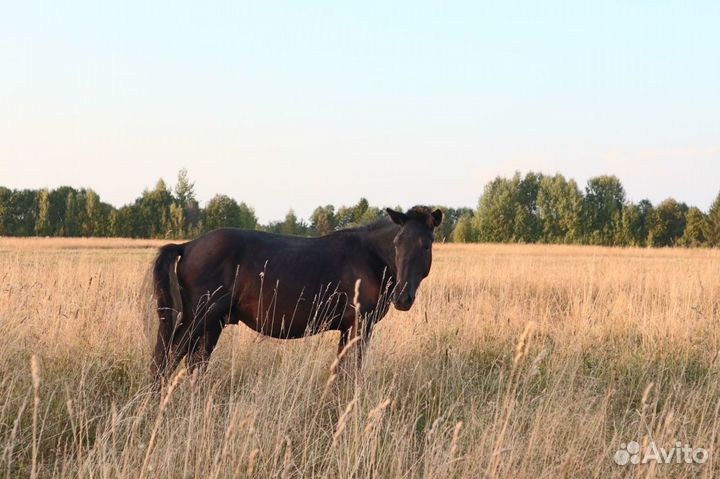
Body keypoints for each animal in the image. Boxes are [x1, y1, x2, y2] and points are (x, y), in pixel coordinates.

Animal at [151, 204, 442, 384]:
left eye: (426, 245)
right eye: (397, 243)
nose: (402, 298)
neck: (370, 257)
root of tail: (188, 245)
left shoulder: (348, 328)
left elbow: (341, 371)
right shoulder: (361, 325)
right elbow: (352, 372)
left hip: (213, 324)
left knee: (192, 365)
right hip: (199, 318)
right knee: (167, 359)